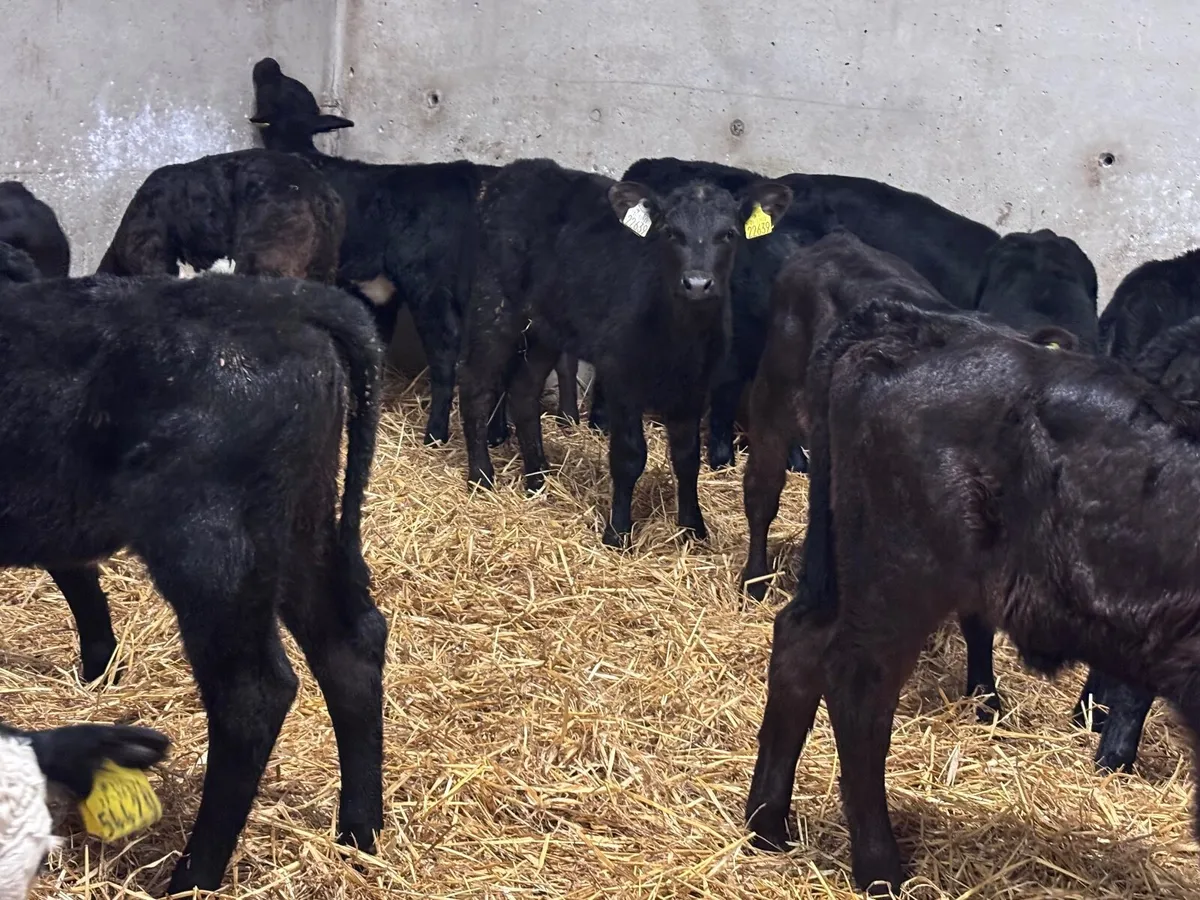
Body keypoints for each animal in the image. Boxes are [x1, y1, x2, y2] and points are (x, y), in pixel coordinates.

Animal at [249, 56, 580, 446]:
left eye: (276, 87)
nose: (268, 63)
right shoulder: (378, 293)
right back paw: (496, 432)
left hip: (429, 285)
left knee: (446, 351)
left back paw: (437, 431)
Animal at [458, 157, 793, 546]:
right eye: (670, 233)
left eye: (728, 234)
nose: (697, 283)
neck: (680, 338)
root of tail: (516, 171)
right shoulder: (619, 376)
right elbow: (629, 456)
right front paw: (618, 532)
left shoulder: (694, 386)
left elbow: (687, 457)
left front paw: (693, 529)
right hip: (494, 302)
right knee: (476, 384)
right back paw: (481, 477)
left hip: (546, 327)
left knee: (524, 390)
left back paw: (538, 479)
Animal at [746, 296, 1200, 894]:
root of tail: (910, 327)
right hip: (900, 576)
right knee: (856, 683)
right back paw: (879, 869)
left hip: (840, 568)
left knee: (798, 642)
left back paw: (767, 825)